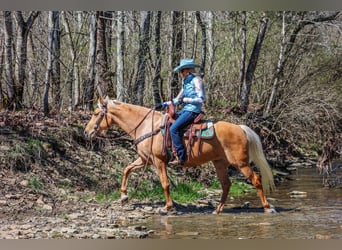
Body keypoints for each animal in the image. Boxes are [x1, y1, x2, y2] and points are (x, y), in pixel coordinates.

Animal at [84, 96, 276, 214]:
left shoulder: (159, 161)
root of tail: (240, 128)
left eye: (95, 113)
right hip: (220, 163)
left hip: (240, 163)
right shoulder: (145, 159)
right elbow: (127, 169)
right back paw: (217, 209)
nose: (86, 132)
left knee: (256, 180)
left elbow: (165, 183)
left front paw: (167, 207)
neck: (147, 125)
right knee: (226, 185)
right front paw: (124, 196)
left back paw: (268, 207)